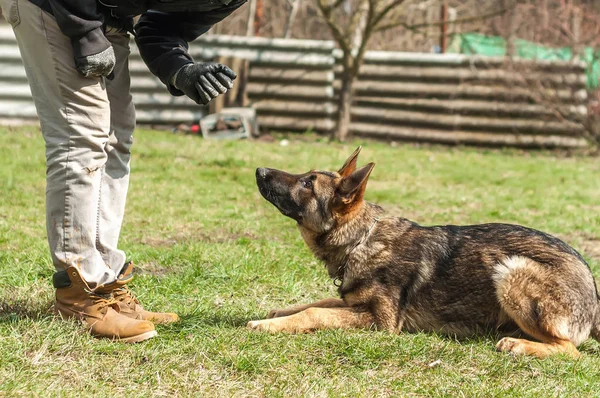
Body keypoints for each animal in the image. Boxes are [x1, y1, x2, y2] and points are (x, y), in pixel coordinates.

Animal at [247, 148, 600, 360]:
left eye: (308, 183)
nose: (259, 170)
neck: (361, 240)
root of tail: (594, 297)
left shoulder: (381, 322)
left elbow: (315, 313)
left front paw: (268, 325)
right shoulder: (353, 303)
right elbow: (316, 303)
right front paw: (278, 314)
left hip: (511, 270)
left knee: (571, 350)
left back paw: (517, 344)